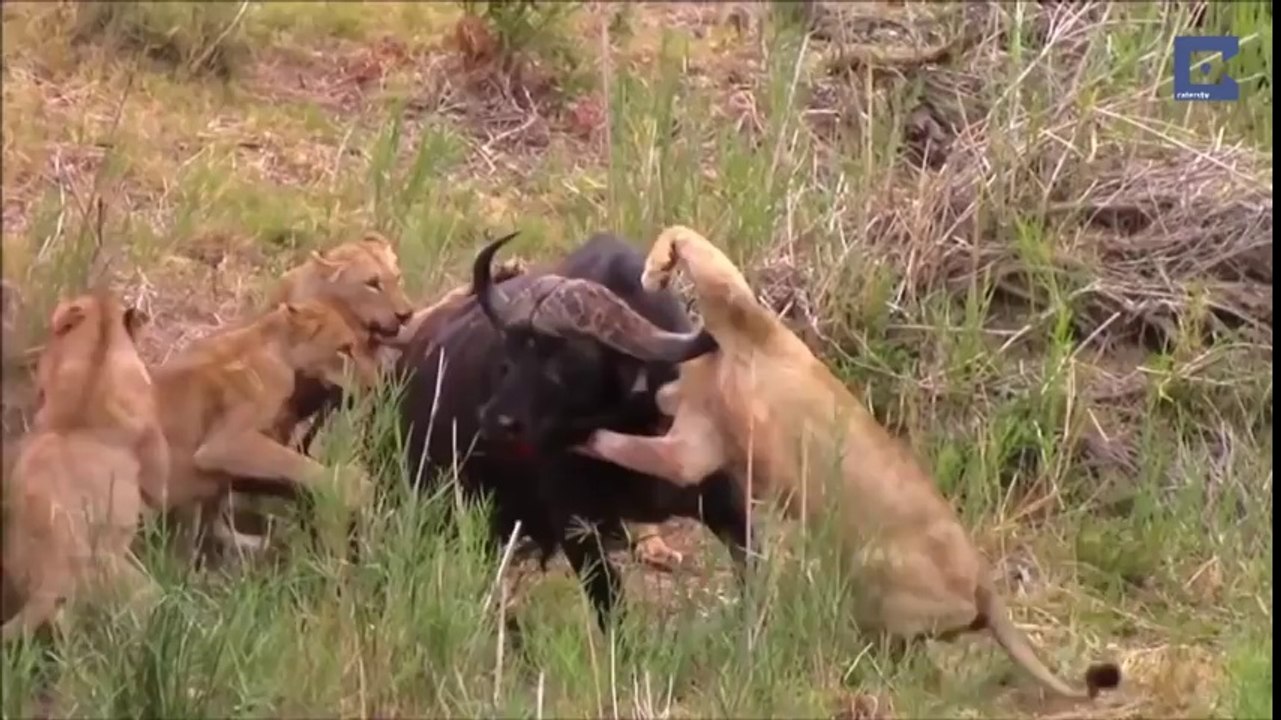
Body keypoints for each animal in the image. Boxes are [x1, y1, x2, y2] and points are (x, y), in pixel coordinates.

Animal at [396, 232, 752, 631]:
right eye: (509, 355)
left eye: (567, 358)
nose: (494, 420)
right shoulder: (576, 525)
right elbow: (610, 604)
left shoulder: (726, 499)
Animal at [576, 226, 1122, 700]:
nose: (651, 392)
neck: (693, 382)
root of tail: (985, 583)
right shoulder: (694, 447)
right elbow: (634, 447)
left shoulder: (743, 318)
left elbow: (689, 237)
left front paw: (658, 268)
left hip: (874, 572)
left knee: (897, 653)